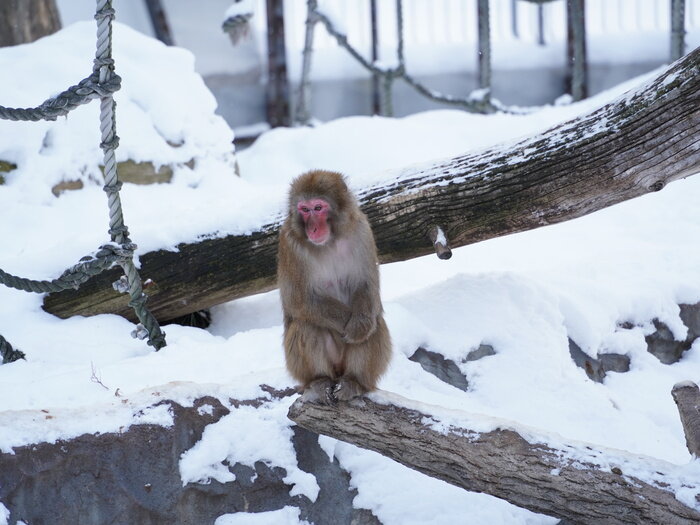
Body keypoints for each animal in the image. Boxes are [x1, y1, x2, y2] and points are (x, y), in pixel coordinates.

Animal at [276, 170, 392, 404]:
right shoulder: (290, 245)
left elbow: (366, 286)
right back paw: (319, 381)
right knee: (306, 325)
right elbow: (301, 301)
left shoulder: (361, 231)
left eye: (318, 208)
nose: (312, 227)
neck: (330, 241)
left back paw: (353, 382)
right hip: (303, 368)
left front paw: (358, 327)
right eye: (304, 210)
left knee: (375, 322)